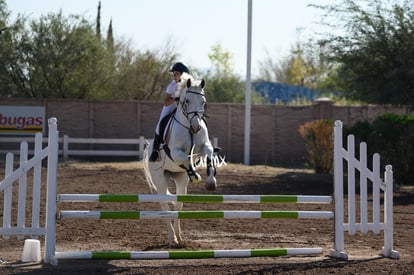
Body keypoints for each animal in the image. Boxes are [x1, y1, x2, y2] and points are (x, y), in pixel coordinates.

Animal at [143, 74, 217, 248]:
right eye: (187, 101)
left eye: (203, 102)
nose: (196, 127)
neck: (189, 127)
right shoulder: (176, 152)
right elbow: (184, 157)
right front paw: (196, 176)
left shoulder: (204, 146)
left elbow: (209, 155)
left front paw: (211, 182)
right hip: (160, 178)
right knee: (164, 206)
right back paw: (172, 239)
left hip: (180, 179)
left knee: (178, 205)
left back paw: (179, 237)